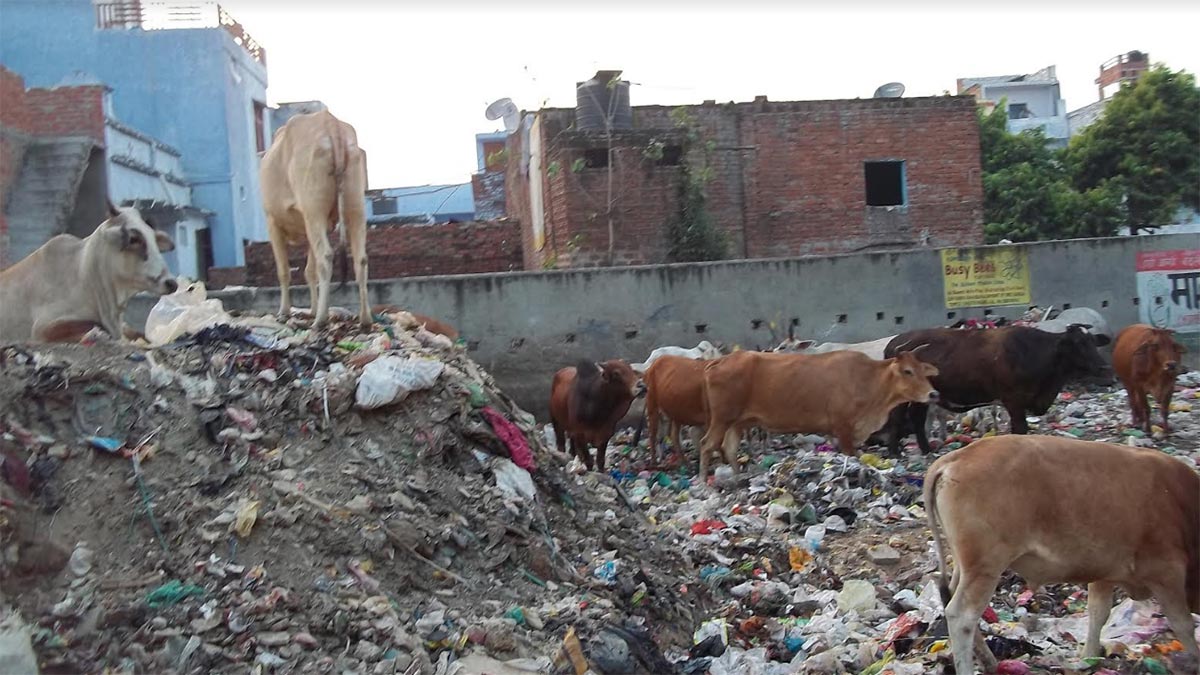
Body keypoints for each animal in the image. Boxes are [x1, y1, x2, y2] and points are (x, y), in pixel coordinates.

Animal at [262, 109, 369, 326]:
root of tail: (331, 124)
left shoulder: (272, 221)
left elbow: (283, 271)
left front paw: (284, 312)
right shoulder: (316, 224)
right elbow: (309, 271)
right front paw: (311, 308)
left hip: (314, 209)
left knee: (326, 256)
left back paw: (320, 320)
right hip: (354, 205)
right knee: (360, 258)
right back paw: (365, 319)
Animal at [700, 345, 940, 478]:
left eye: (922, 370)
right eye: (907, 371)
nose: (933, 394)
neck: (868, 379)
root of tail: (719, 361)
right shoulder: (843, 429)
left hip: (737, 423)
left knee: (729, 449)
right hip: (721, 419)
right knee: (707, 445)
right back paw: (704, 483)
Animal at [878, 324, 1108, 451]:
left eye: (1092, 341)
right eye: (1077, 343)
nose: (1103, 366)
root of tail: (894, 343)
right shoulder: (1014, 400)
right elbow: (1020, 429)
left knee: (917, 418)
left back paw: (926, 450)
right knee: (898, 417)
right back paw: (895, 452)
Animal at [926, 432, 1200, 667]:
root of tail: (957, 457)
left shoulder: (1105, 571)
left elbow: (1098, 613)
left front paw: (1089, 657)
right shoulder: (1166, 572)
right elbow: (1183, 624)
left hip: (966, 565)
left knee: (951, 596)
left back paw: (989, 661)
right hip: (986, 566)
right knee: (961, 616)